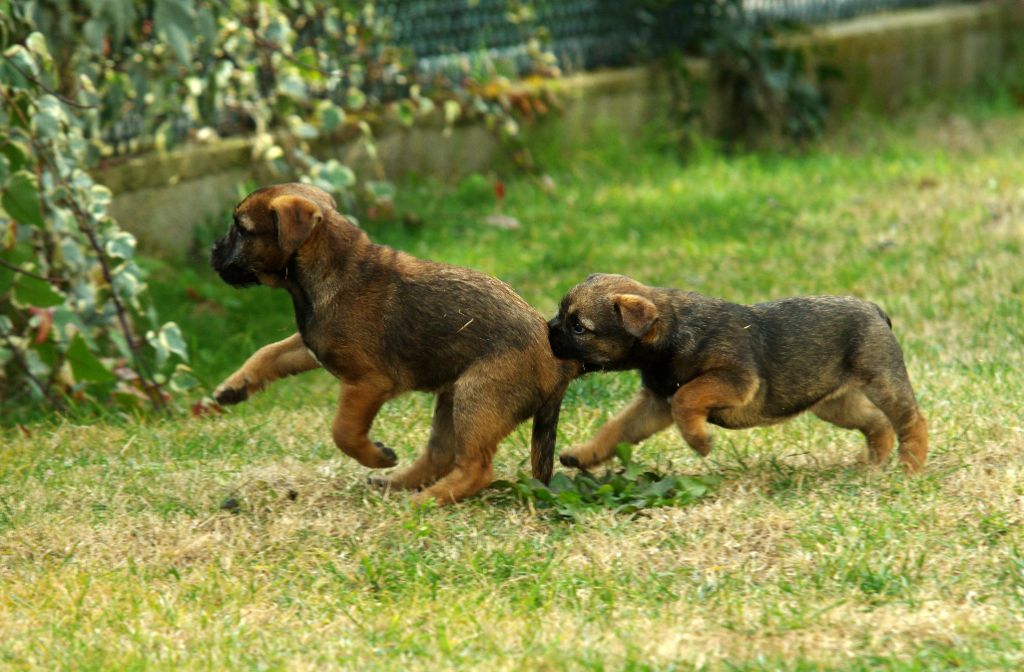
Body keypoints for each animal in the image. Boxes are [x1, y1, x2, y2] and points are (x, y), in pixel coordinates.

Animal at [209, 183, 577, 504]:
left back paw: (423, 501)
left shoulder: (368, 383)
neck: (331, 268)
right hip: (453, 399)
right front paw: (234, 386)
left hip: (478, 398)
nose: (213, 251)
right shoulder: (313, 344)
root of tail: (561, 362)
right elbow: (269, 352)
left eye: (241, 229)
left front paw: (375, 456)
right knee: (441, 456)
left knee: (476, 469)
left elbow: (343, 431)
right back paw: (398, 486)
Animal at [548, 272, 933, 473]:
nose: (548, 328)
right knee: (877, 423)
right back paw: (875, 464)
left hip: (882, 381)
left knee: (911, 420)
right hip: (834, 403)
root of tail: (874, 309)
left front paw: (699, 441)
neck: (672, 330)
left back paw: (909, 467)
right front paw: (584, 454)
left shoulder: (733, 380)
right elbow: (615, 430)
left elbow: (687, 397)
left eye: (578, 327)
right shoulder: (653, 404)